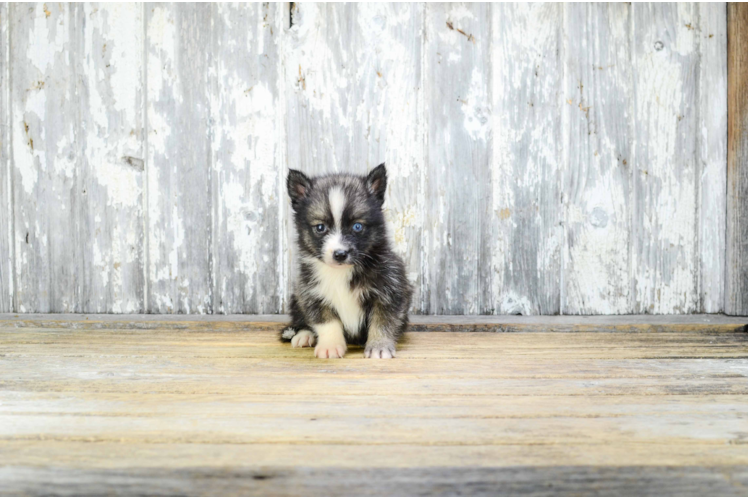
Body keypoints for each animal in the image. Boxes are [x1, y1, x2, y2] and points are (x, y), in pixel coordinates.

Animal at [280, 164, 412, 360]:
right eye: (320, 227)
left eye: (357, 226)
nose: (340, 254)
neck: (341, 271)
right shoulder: (311, 293)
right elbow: (326, 321)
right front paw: (330, 346)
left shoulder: (390, 290)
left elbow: (383, 321)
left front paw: (379, 346)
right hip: (296, 299)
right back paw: (304, 334)